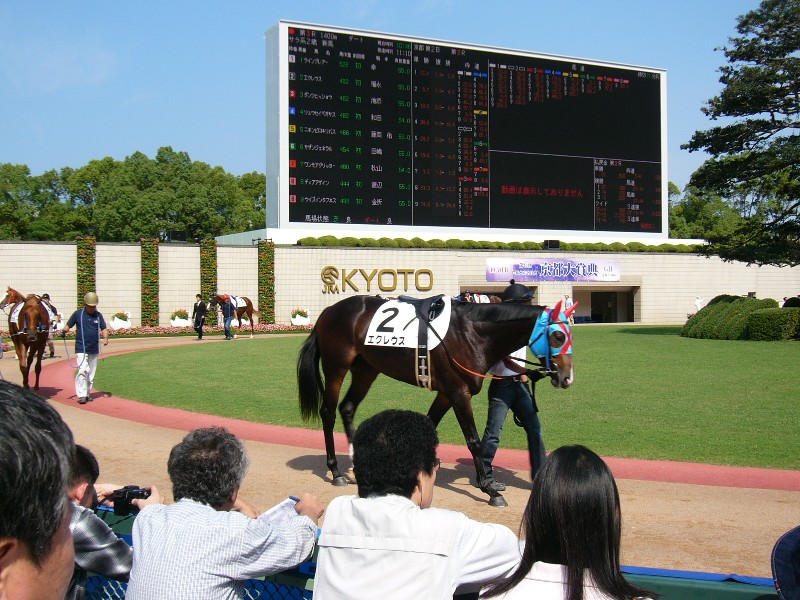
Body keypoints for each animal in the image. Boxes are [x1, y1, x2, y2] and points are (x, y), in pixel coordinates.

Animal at [298, 296, 576, 506]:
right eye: (558, 336)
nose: (567, 377)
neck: (471, 333)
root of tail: (327, 312)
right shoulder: (458, 393)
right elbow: (474, 442)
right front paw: (490, 490)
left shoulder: (445, 394)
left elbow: (429, 424)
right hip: (336, 367)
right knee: (328, 412)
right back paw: (336, 472)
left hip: (366, 369)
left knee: (347, 408)